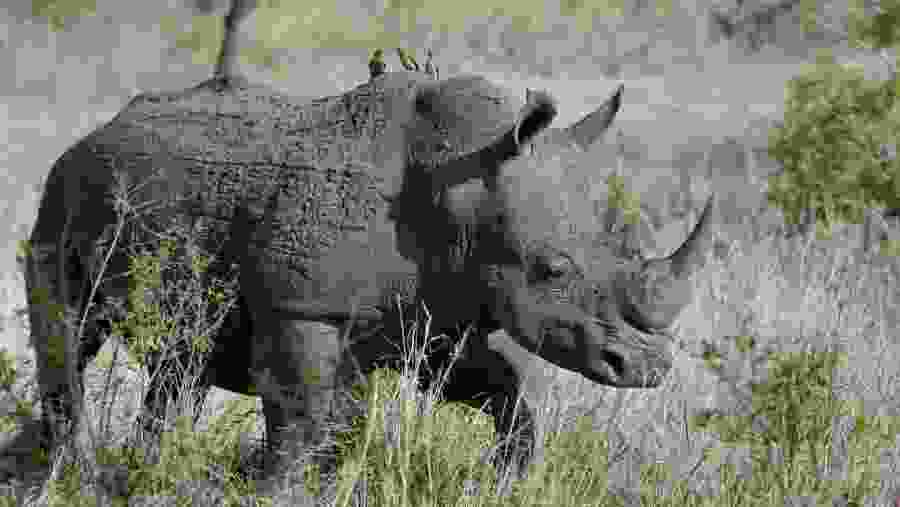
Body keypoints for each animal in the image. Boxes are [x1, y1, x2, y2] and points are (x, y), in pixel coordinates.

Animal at [25, 20, 715, 497]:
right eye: (551, 270)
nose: (647, 368)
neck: (462, 184)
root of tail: (92, 134)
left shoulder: (441, 309)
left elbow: (504, 395)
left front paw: (504, 480)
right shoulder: (302, 306)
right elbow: (303, 419)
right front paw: (275, 493)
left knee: (181, 365)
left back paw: (129, 471)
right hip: (62, 195)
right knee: (70, 332)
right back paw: (67, 472)